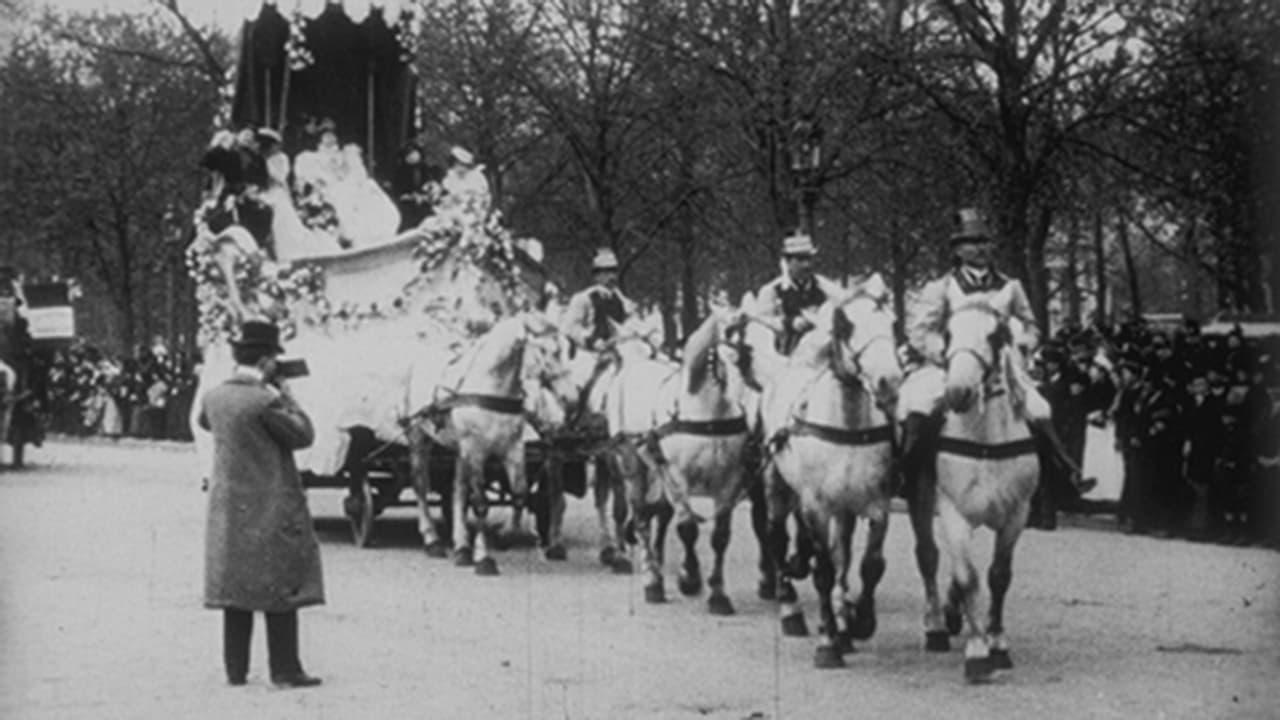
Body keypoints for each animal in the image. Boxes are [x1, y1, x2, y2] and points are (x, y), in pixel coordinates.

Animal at [747, 271, 906, 666]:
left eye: (892, 322)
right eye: (845, 325)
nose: (889, 382)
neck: (847, 427)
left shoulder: (875, 505)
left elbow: (869, 564)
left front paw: (860, 621)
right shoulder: (815, 506)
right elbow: (823, 569)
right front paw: (827, 641)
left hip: (843, 507)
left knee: (842, 552)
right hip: (777, 486)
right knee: (776, 536)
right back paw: (790, 609)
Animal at [936, 283, 1044, 681]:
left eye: (995, 336)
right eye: (948, 333)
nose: (958, 393)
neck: (985, 441)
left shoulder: (1016, 514)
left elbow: (999, 575)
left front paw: (997, 642)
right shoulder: (952, 512)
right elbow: (968, 576)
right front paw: (977, 649)